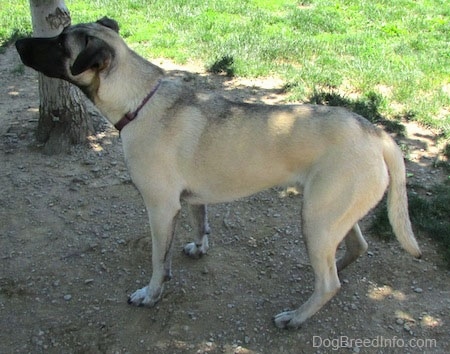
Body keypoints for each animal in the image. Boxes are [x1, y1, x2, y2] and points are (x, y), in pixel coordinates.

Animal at [14, 17, 422, 330]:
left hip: (317, 218)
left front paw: (151, 293)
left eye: (60, 43)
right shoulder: (191, 200)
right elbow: (200, 224)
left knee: (328, 284)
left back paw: (296, 316)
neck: (138, 98)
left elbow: (158, 261)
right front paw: (199, 247)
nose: (17, 41)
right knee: (353, 249)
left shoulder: (160, 209)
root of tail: (377, 134)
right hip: (332, 214)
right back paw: (333, 267)